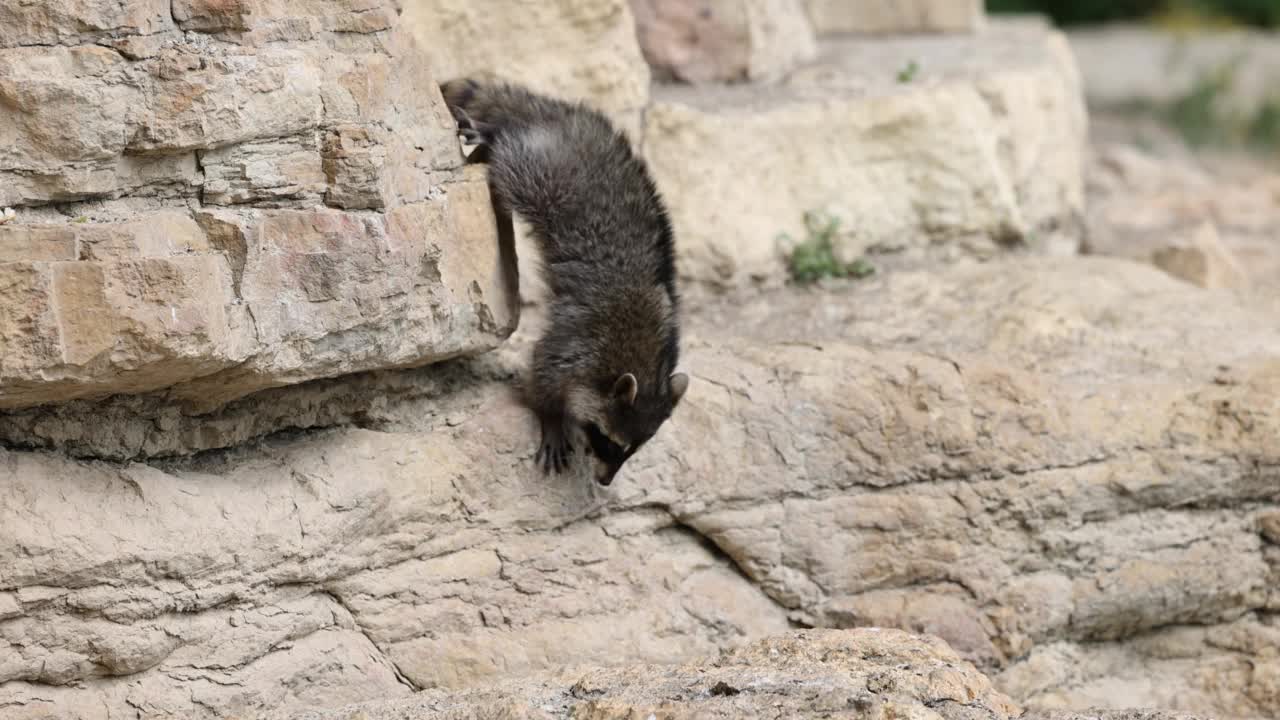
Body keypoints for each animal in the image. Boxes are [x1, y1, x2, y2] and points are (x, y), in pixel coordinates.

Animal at [445, 75, 696, 484]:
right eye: (608, 441)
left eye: (634, 450)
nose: (605, 481)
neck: (646, 364)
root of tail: (568, 119)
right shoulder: (580, 343)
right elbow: (542, 369)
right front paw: (552, 418)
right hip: (550, 176)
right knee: (513, 163)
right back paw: (491, 138)